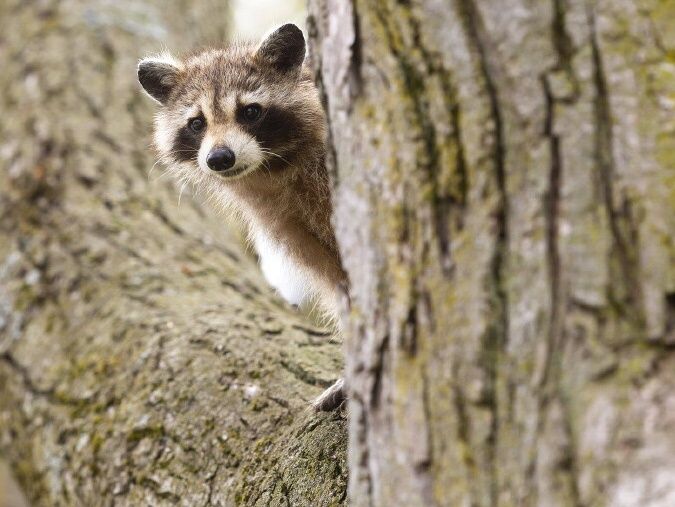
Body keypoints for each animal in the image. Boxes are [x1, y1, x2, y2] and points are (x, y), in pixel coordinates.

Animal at [139, 24, 348, 412]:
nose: (220, 158)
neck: (273, 169)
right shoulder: (291, 221)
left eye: (250, 112)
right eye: (197, 123)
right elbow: (339, 284)